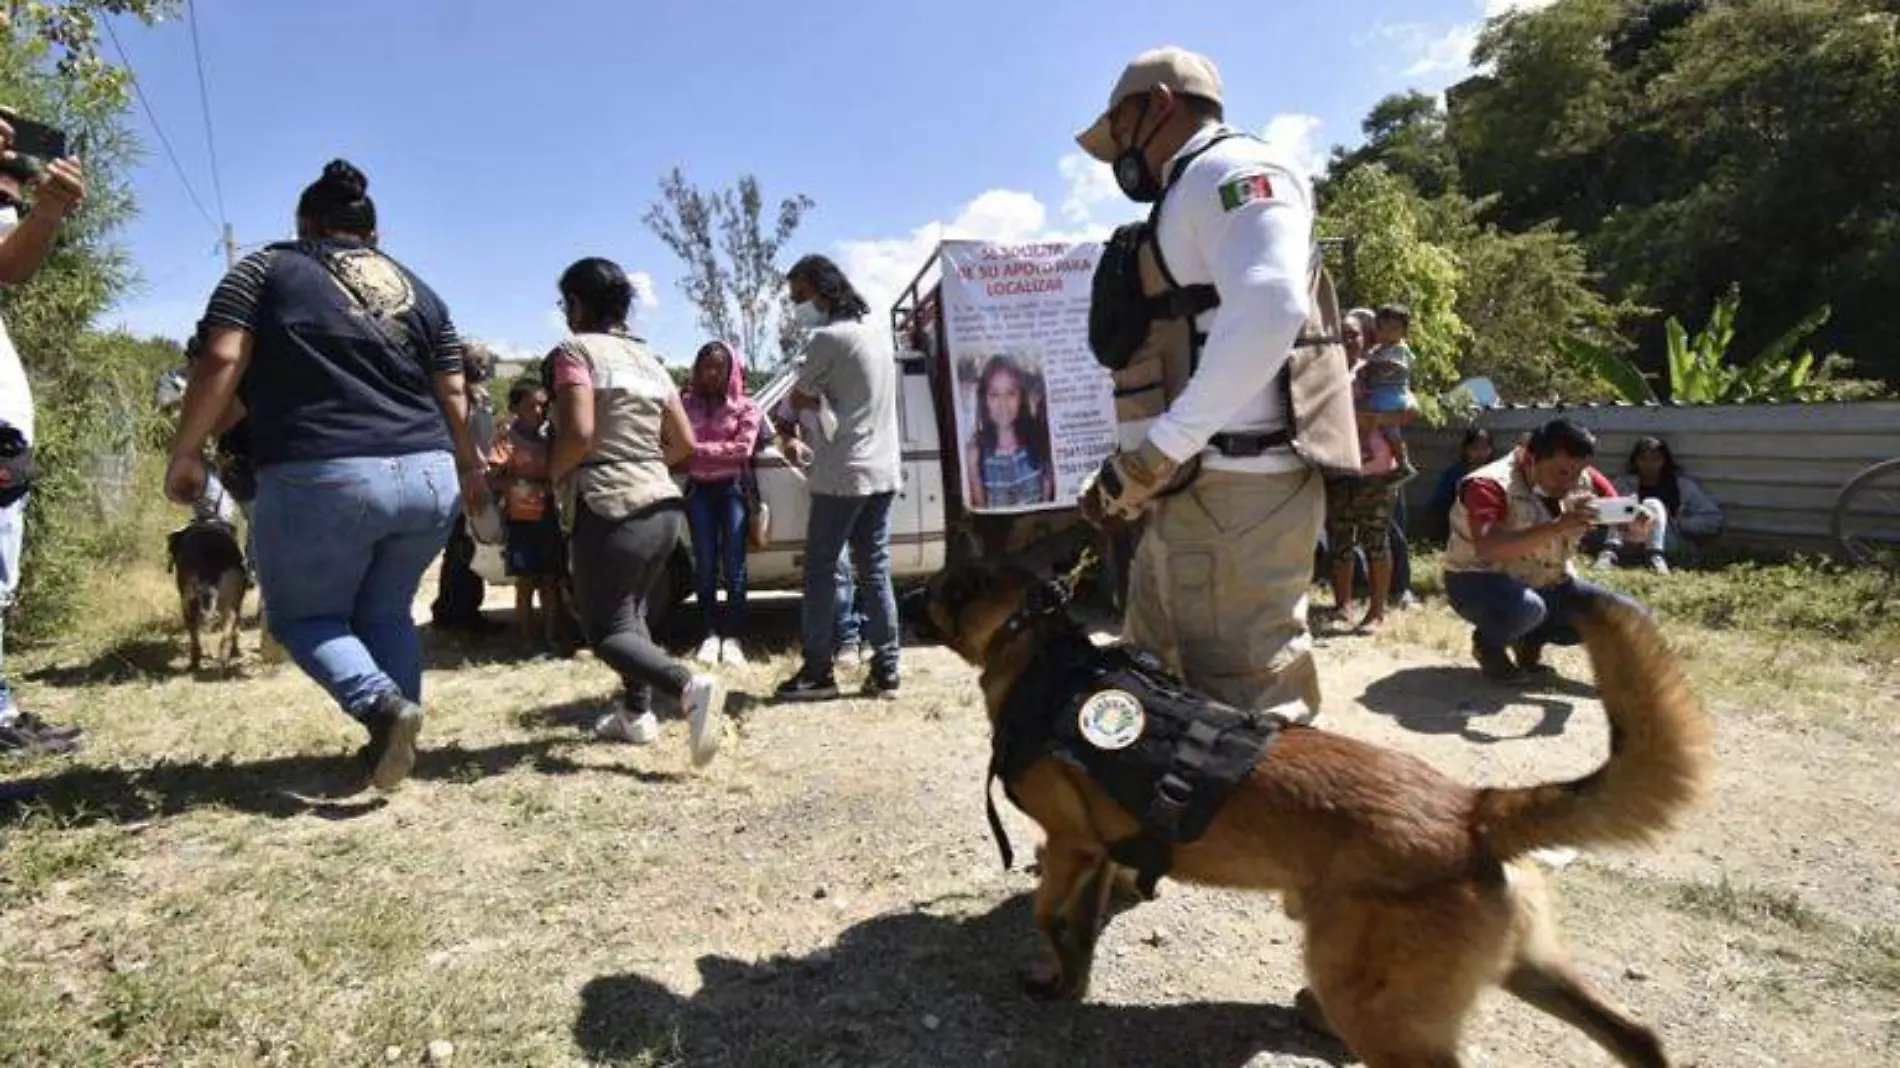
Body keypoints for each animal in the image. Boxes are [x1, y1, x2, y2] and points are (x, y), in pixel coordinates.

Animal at [167, 516, 250, 672]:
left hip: (191, 600)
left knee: (195, 632)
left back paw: (197, 662)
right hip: (230, 601)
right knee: (228, 630)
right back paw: (224, 661)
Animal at [927, 562, 1717, 1056]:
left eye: (950, 587)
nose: (915, 592)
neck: (1047, 663)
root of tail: (1474, 810)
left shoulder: (1068, 846)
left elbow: (1045, 914)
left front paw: (1050, 975)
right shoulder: (1095, 855)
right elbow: (1079, 930)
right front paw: (1069, 982)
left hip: (1374, 1001)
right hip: (1525, 968)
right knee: (1636, 1036)